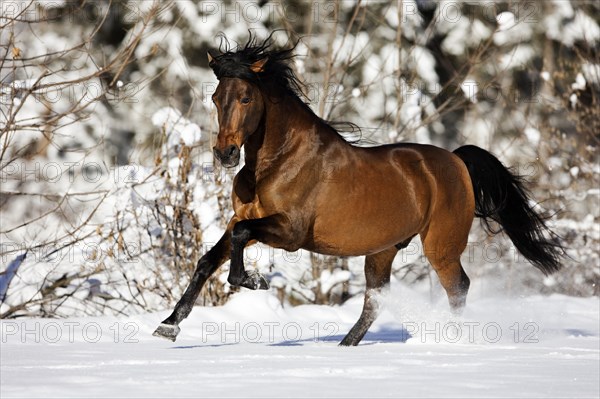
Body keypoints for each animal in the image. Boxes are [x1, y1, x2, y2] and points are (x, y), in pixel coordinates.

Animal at [152, 34, 564, 346]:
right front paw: (168, 326)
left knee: (457, 287)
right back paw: (345, 346)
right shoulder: (244, 218)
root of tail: (456, 161)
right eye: (215, 98)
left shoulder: (290, 232)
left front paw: (253, 280)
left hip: (440, 245)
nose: (225, 153)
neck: (277, 162)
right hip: (382, 250)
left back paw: (455, 339)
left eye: (246, 98)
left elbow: (239, 239)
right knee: (375, 299)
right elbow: (208, 260)